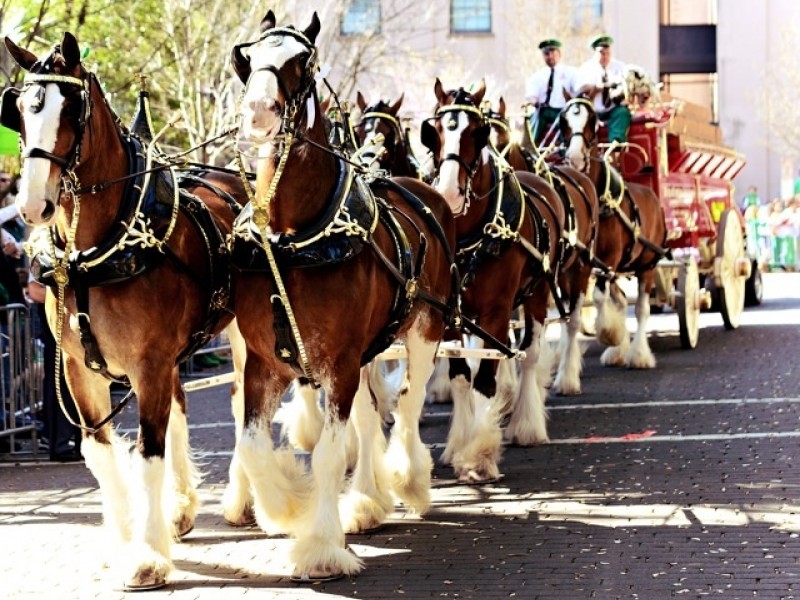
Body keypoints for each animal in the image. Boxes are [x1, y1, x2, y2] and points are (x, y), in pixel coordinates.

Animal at [3, 34, 247, 592]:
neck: (94, 256)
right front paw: (123, 539)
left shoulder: (148, 363)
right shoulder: (79, 369)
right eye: (21, 111)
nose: (31, 207)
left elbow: (147, 452)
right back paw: (181, 508)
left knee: (251, 400)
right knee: (182, 405)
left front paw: (147, 557)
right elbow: (99, 451)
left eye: (72, 109)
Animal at [228, 11, 460, 580]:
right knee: (369, 415)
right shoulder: (266, 361)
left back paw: (408, 480)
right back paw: (367, 500)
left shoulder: (337, 361)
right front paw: (286, 504)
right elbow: (253, 446)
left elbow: (332, 453)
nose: (258, 112)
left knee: (408, 402)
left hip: (425, 330)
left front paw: (321, 546)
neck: (292, 238)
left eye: (304, 61)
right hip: (367, 350)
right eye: (248, 56)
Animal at [422, 81, 564, 482]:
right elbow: (460, 375)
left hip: (537, 295)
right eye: (434, 131)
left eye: (476, 131)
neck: (470, 238)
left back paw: (526, 425)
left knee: (530, 354)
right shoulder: (451, 316)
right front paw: (459, 444)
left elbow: (486, 378)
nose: (449, 193)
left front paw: (479, 456)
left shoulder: (497, 312)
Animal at [484, 98, 604, 398]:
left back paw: (567, 377)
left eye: (593, 121)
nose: (576, 156)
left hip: (580, 266)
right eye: (563, 122)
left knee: (572, 321)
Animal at [564, 99, 668, 368]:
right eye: (563, 121)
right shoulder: (586, 264)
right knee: (621, 300)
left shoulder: (608, 258)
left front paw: (609, 334)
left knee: (642, 308)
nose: (575, 158)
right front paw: (614, 338)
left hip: (647, 265)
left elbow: (600, 297)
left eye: (592, 121)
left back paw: (638, 354)